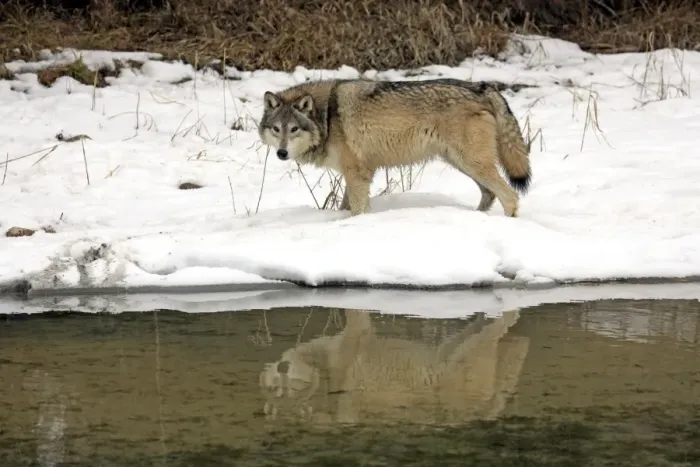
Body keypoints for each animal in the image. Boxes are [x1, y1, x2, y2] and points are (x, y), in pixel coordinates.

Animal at [258, 78, 532, 217]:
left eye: (294, 129)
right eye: (277, 129)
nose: (282, 153)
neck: (326, 116)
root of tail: (483, 87)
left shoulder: (357, 174)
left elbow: (357, 210)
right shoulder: (355, 174)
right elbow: (346, 207)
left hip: (471, 163)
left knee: (510, 196)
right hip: (461, 162)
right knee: (490, 194)